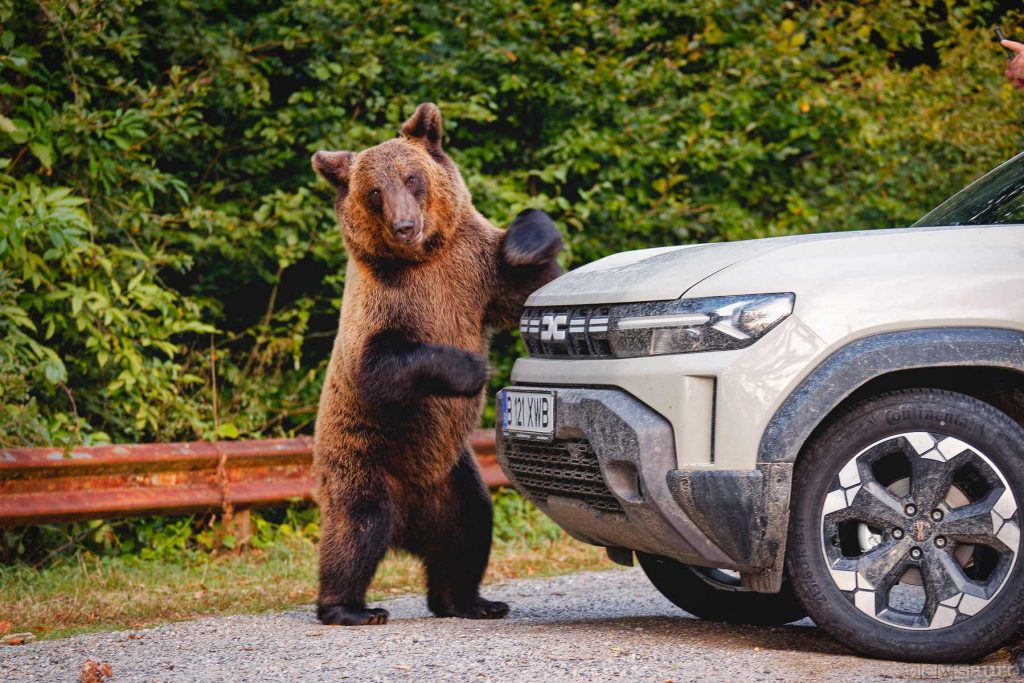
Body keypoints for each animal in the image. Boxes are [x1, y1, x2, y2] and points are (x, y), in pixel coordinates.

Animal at [310, 102, 563, 626]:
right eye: (374, 191)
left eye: (412, 178)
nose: (405, 226)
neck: (423, 259)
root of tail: (410, 525)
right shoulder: (384, 305)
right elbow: (379, 365)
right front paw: (472, 369)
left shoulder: (473, 272)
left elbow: (533, 282)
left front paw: (526, 241)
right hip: (363, 457)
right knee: (357, 526)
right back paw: (350, 607)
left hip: (453, 477)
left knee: (470, 528)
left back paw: (471, 601)